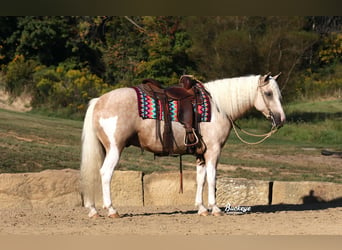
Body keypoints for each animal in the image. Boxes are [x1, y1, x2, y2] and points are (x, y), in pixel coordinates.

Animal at [80, 72, 286, 217]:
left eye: (279, 95)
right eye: (268, 93)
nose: (281, 120)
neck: (218, 106)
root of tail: (99, 101)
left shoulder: (201, 154)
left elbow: (200, 179)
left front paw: (201, 208)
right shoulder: (213, 151)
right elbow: (212, 178)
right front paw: (214, 208)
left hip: (104, 149)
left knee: (94, 173)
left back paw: (93, 210)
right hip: (115, 149)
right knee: (105, 173)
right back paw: (111, 210)